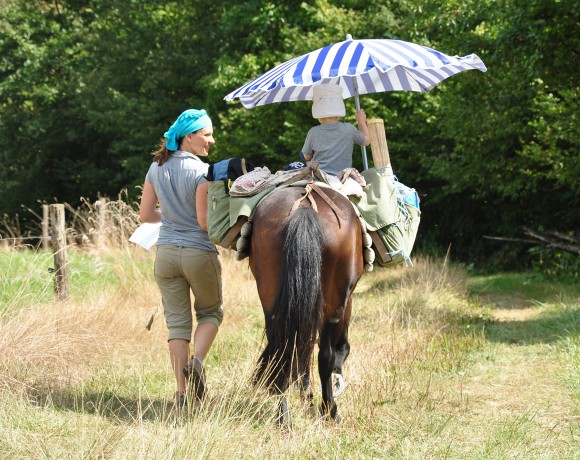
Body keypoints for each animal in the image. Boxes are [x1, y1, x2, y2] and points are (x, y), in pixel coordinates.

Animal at [248, 181, 362, 424]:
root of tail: (305, 207)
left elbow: (302, 347)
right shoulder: (345, 301)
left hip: (272, 296)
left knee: (284, 347)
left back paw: (283, 416)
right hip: (333, 305)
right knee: (324, 355)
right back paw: (330, 411)